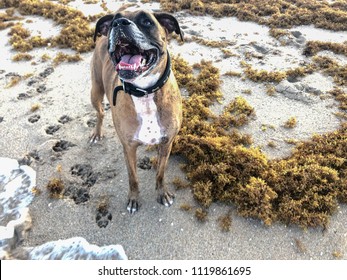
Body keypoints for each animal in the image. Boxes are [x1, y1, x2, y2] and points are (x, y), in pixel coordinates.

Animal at [90, 9, 185, 213]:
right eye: (115, 20)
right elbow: (133, 178)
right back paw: (96, 133)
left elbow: (160, 173)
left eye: (147, 22)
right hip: (95, 90)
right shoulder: (129, 147)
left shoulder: (167, 143)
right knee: (100, 113)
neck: (144, 93)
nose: (118, 23)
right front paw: (134, 199)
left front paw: (162, 193)